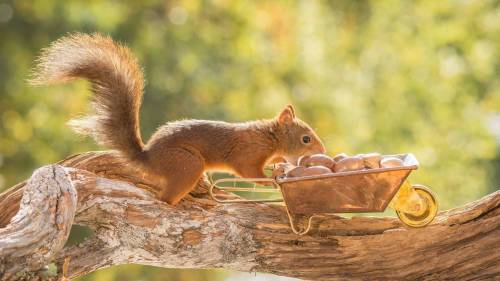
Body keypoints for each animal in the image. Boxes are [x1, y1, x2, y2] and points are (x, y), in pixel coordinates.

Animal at [32, 33, 328, 203]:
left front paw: (279, 168)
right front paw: (272, 180)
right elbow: (249, 173)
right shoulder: (247, 154)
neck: (269, 137)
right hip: (187, 164)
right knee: (164, 198)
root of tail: (149, 158)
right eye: (306, 139)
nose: (323, 150)